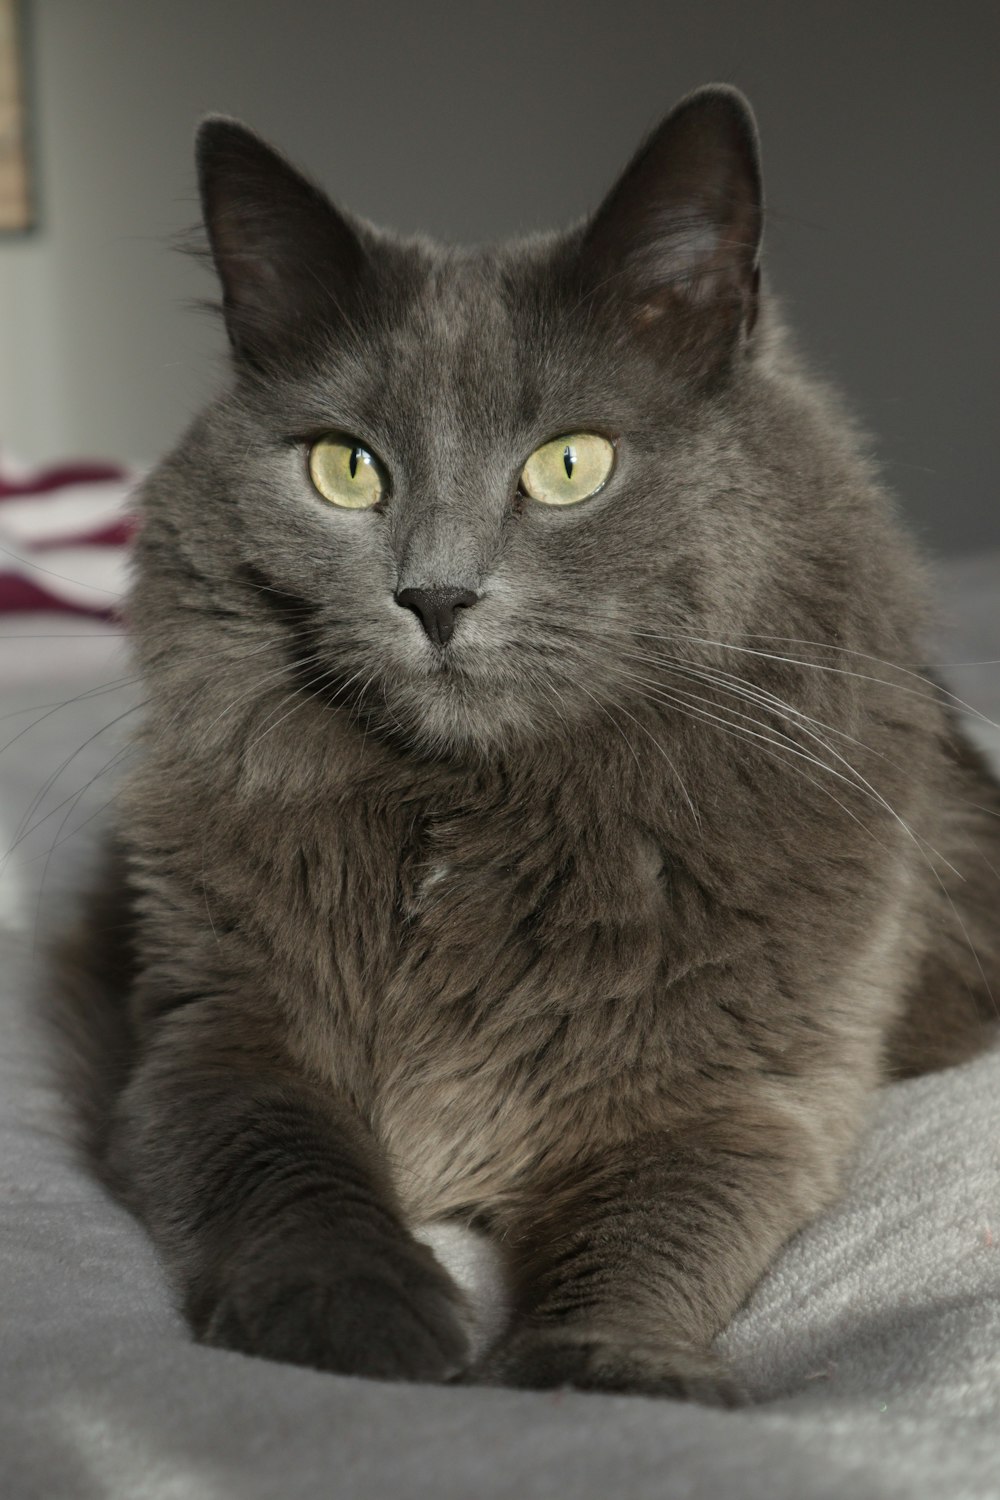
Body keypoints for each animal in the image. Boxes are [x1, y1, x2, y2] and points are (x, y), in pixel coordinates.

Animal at [62, 79, 1000, 1392]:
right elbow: (277, 1157)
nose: (435, 595)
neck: (470, 821)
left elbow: (656, 1220)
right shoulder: (206, 1031)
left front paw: (599, 1369)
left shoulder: (743, 1092)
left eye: (570, 465)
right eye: (345, 469)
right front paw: (354, 1317)